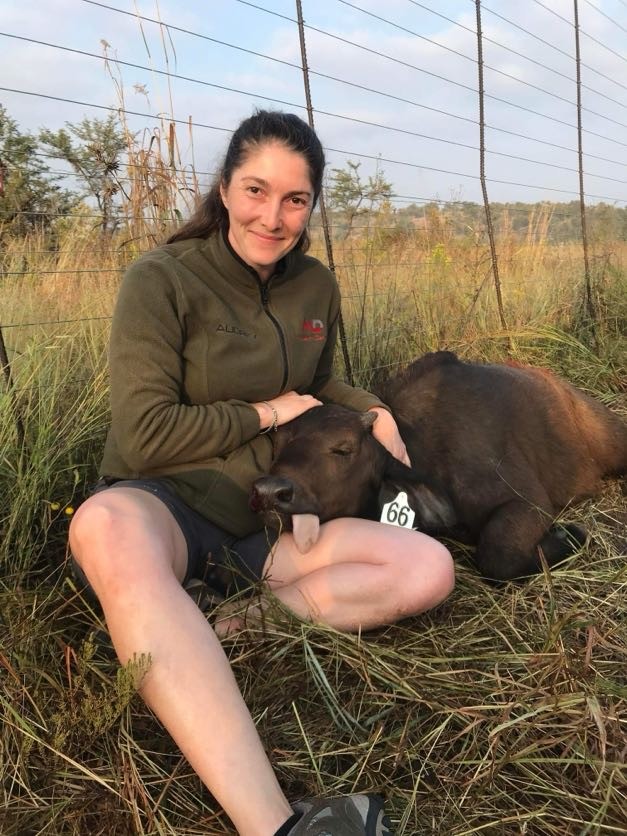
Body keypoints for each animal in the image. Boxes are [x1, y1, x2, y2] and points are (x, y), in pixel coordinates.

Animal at [250, 351, 627, 581]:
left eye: (343, 448)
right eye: (278, 445)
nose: (270, 492)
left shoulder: (527, 502)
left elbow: (498, 557)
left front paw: (569, 536)